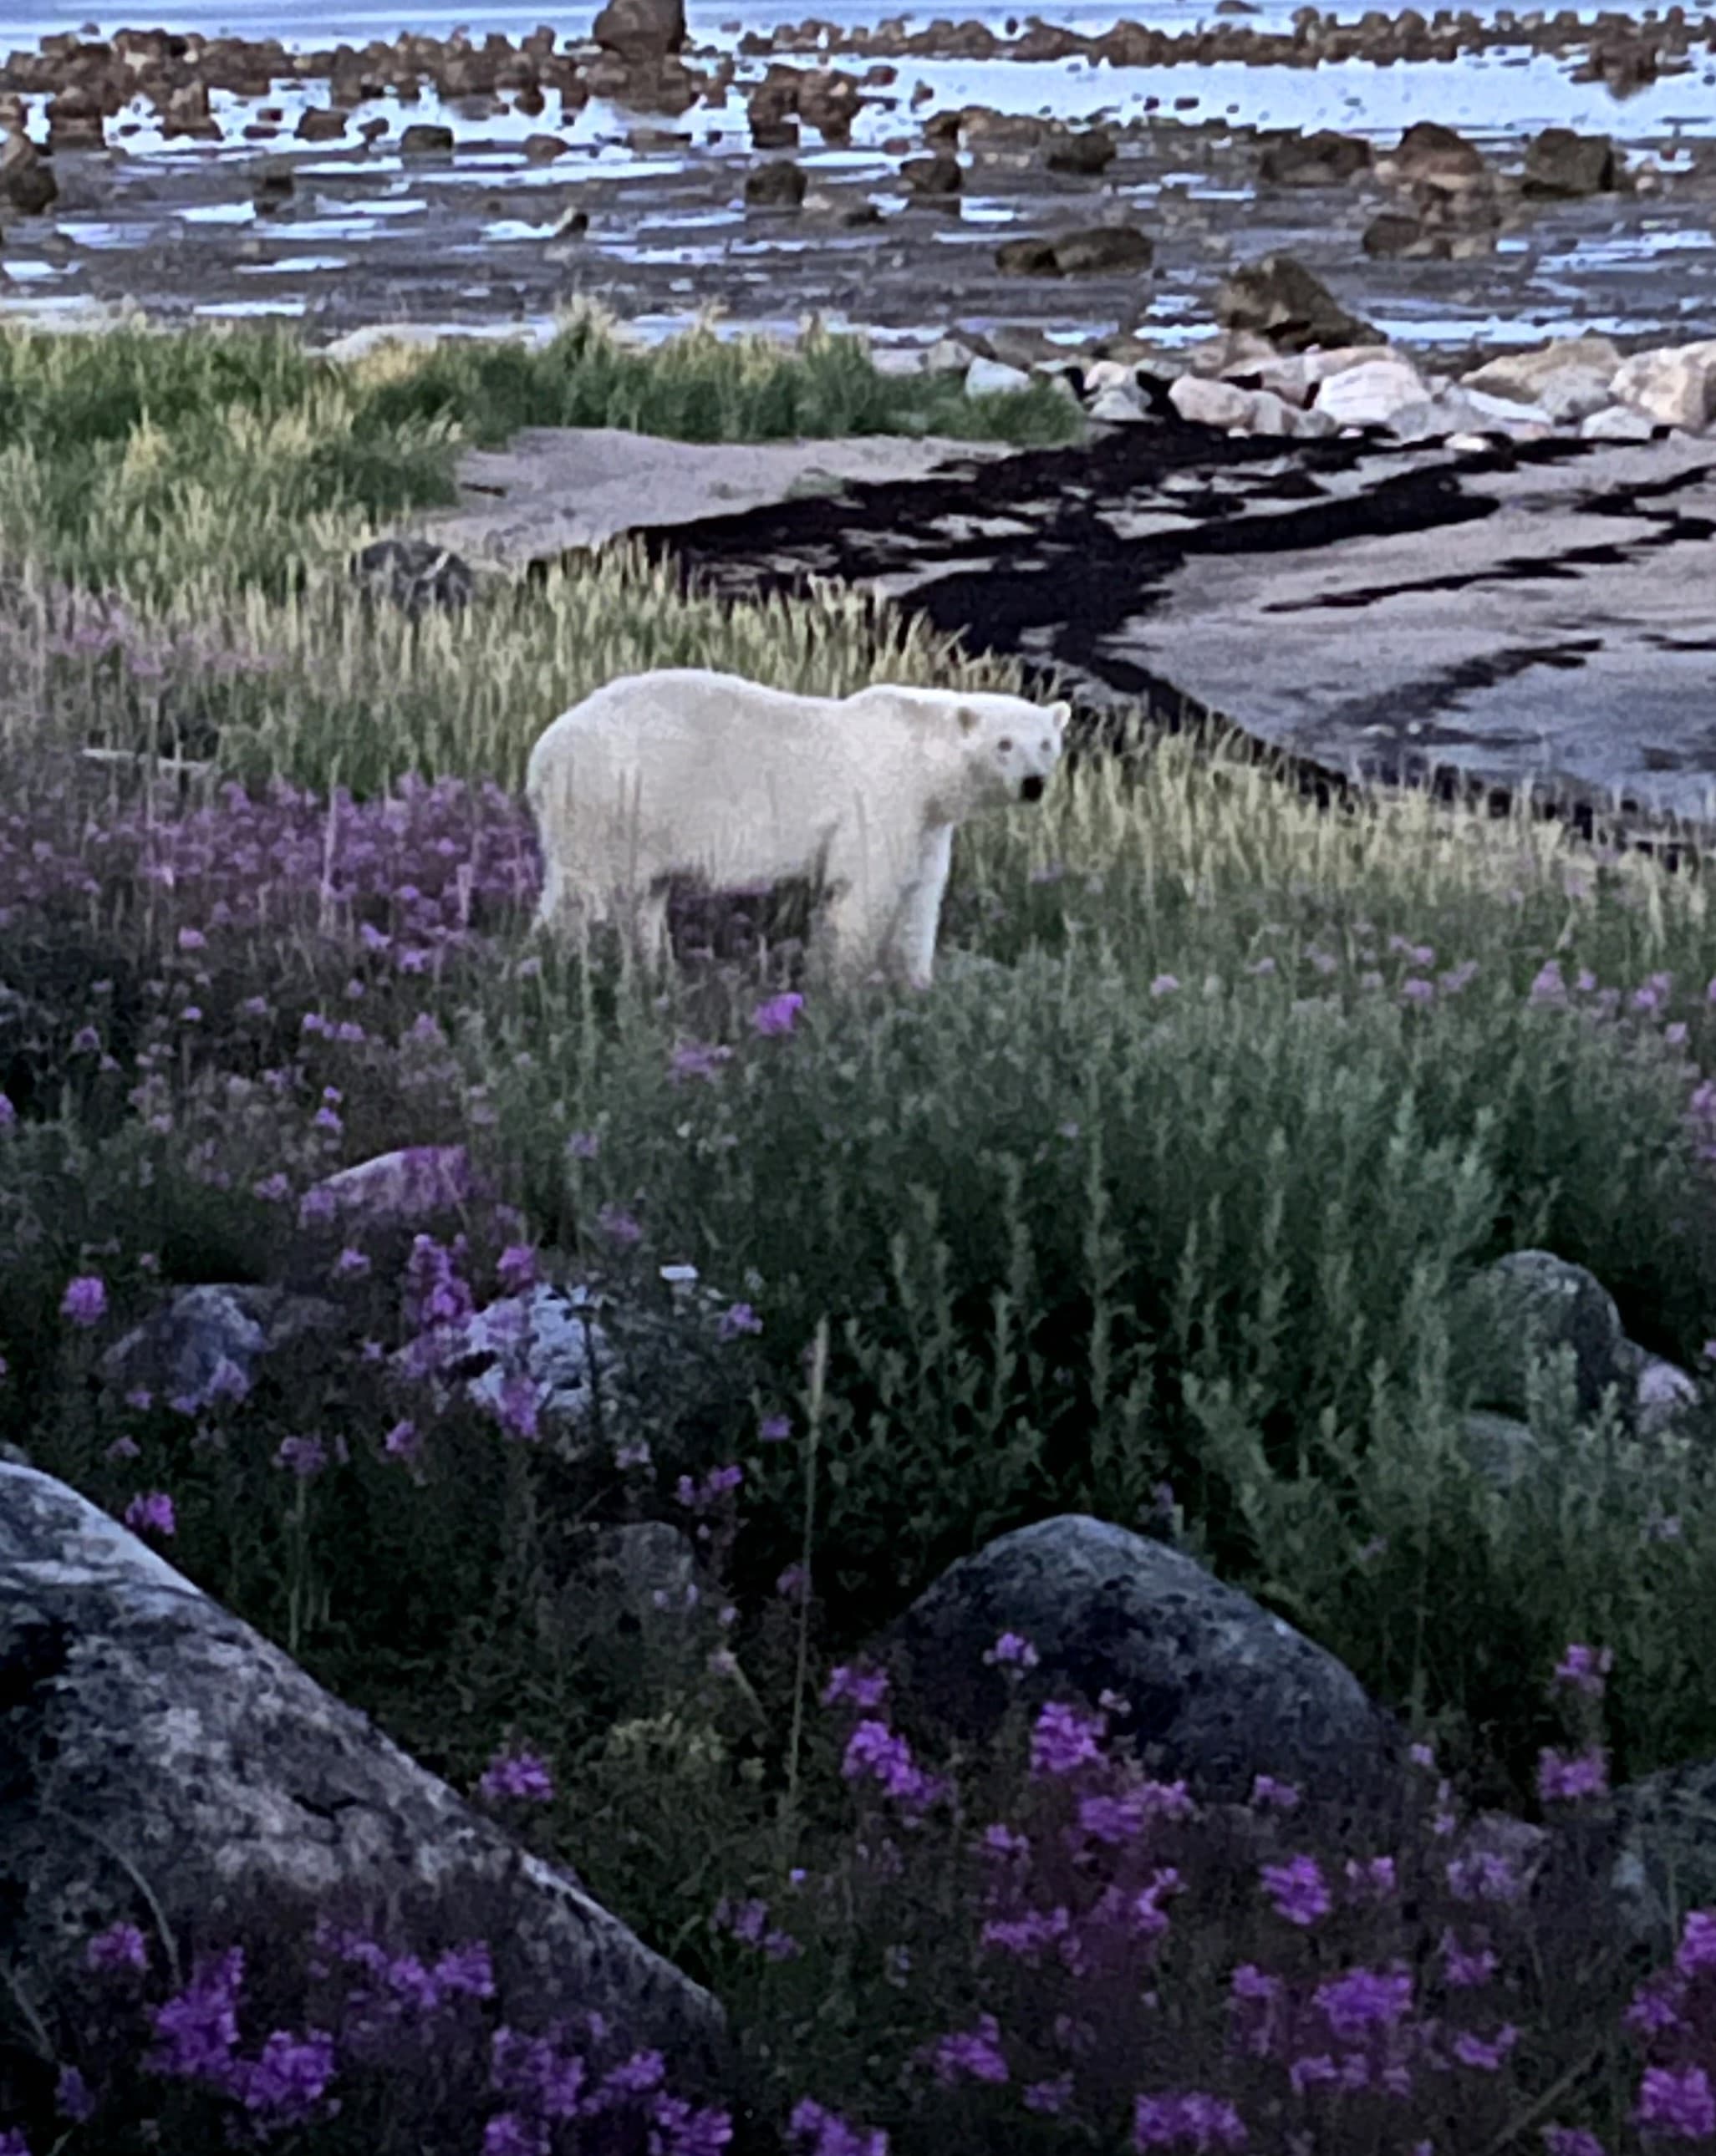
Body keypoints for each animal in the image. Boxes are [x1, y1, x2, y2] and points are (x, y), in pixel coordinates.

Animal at [525, 668, 1070, 988]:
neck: (920, 755)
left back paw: (653, 973)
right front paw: (845, 989)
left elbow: (919, 899)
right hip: (612, 800)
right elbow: (865, 893)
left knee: (642, 898)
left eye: (1046, 742)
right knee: (585, 895)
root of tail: (543, 755)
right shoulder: (880, 802)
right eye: (1004, 743)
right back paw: (561, 966)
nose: (1033, 784)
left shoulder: (926, 824)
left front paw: (917, 987)